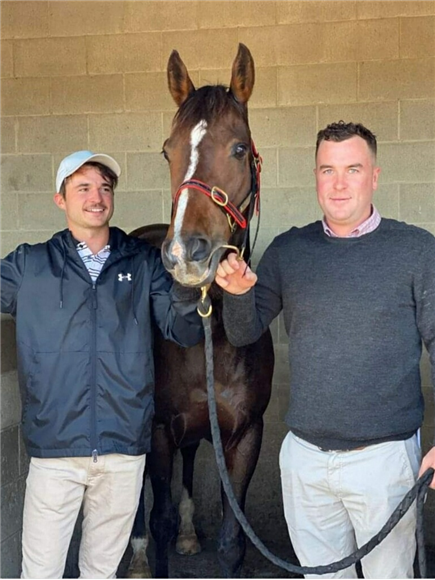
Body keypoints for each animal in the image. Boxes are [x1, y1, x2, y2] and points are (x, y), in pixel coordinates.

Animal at [127, 43, 274, 576]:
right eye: (168, 150)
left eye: (239, 149)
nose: (185, 253)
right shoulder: (158, 432)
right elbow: (160, 519)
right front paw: (152, 550)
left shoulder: (246, 437)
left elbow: (234, 538)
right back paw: (137, 553)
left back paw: (191, 533)